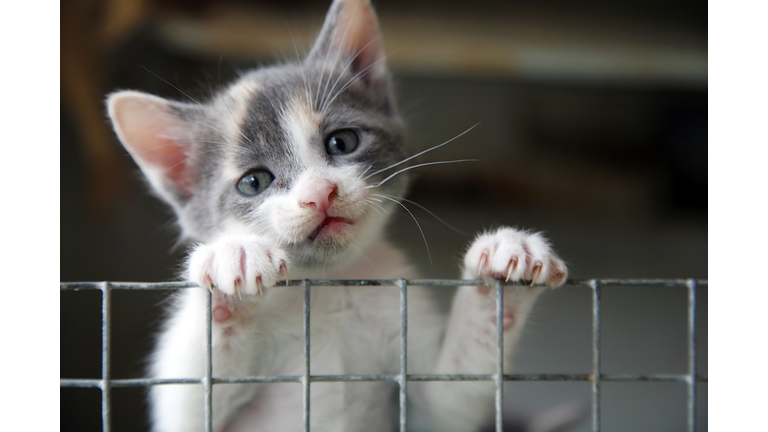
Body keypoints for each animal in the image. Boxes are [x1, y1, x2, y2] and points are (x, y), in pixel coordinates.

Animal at [105, 0, 568, 432]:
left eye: (342, 142)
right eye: (254, 182)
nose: (319, 194)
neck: (327, 286)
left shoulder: (427, 403)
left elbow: (449, 402)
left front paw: (507, 262)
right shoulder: (184, 415)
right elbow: (187, 401)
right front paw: (231, 257)